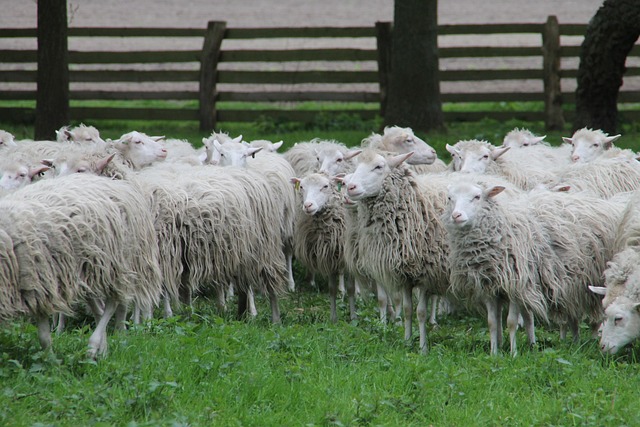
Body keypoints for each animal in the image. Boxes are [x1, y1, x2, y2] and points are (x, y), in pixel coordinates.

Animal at [3, 174, 162, 358]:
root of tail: (120, 184)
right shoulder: (38, 286)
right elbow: (43, 336)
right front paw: (50, 358)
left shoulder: (38, 281)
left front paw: (51, 360)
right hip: (89, 269)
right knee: (100, 309)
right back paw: (102, 349)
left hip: (117, 265)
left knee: (113, 303)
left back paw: (93, 347)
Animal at [290, 172, 356, 322]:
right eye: (301, 187)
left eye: (325, 186)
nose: (308, 205)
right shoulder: (330, 257)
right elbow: (331, 289)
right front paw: (333, 319)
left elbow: (351, 288)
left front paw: (353, 317)